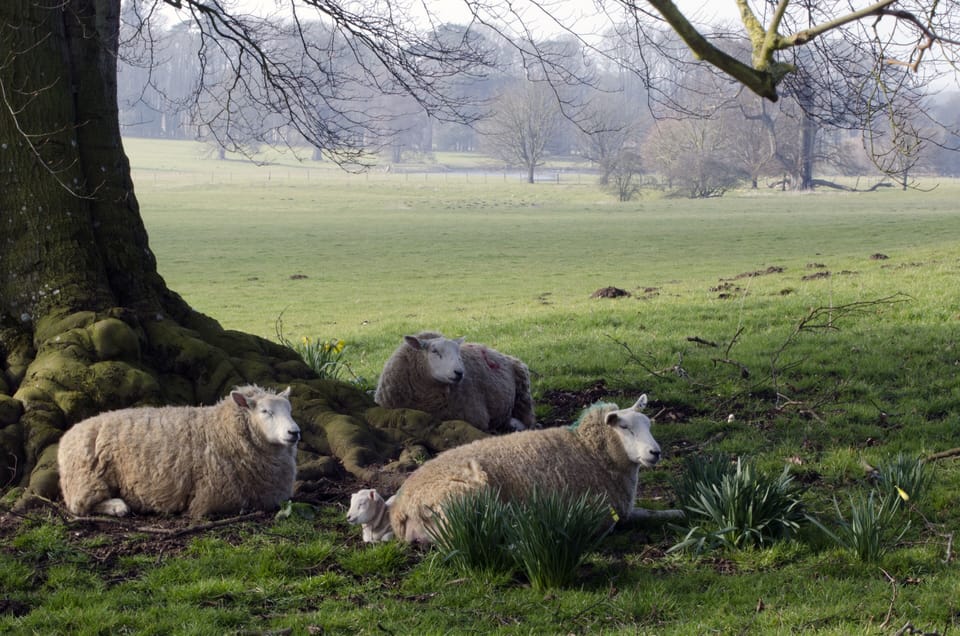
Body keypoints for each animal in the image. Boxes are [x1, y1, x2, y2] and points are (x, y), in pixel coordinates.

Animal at [57, 385, 300, 518]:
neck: (221, 430)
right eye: (265, 411)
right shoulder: (214, 498)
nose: (294, 432)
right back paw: (118, 506)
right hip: (87, 480)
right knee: (80, 506)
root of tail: (67, 436)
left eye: (290, 410)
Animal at [374, 331, 536, 433]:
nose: (459, 372)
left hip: (523, 395)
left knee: (529, 419)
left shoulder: (476, 418)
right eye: (434, 351)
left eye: (458, 353)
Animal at [389, 396, 662, 543]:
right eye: (624, 427)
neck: (590, 451)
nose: (655, 452)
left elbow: (653, 514)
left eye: (649, 425)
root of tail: (401, 509)